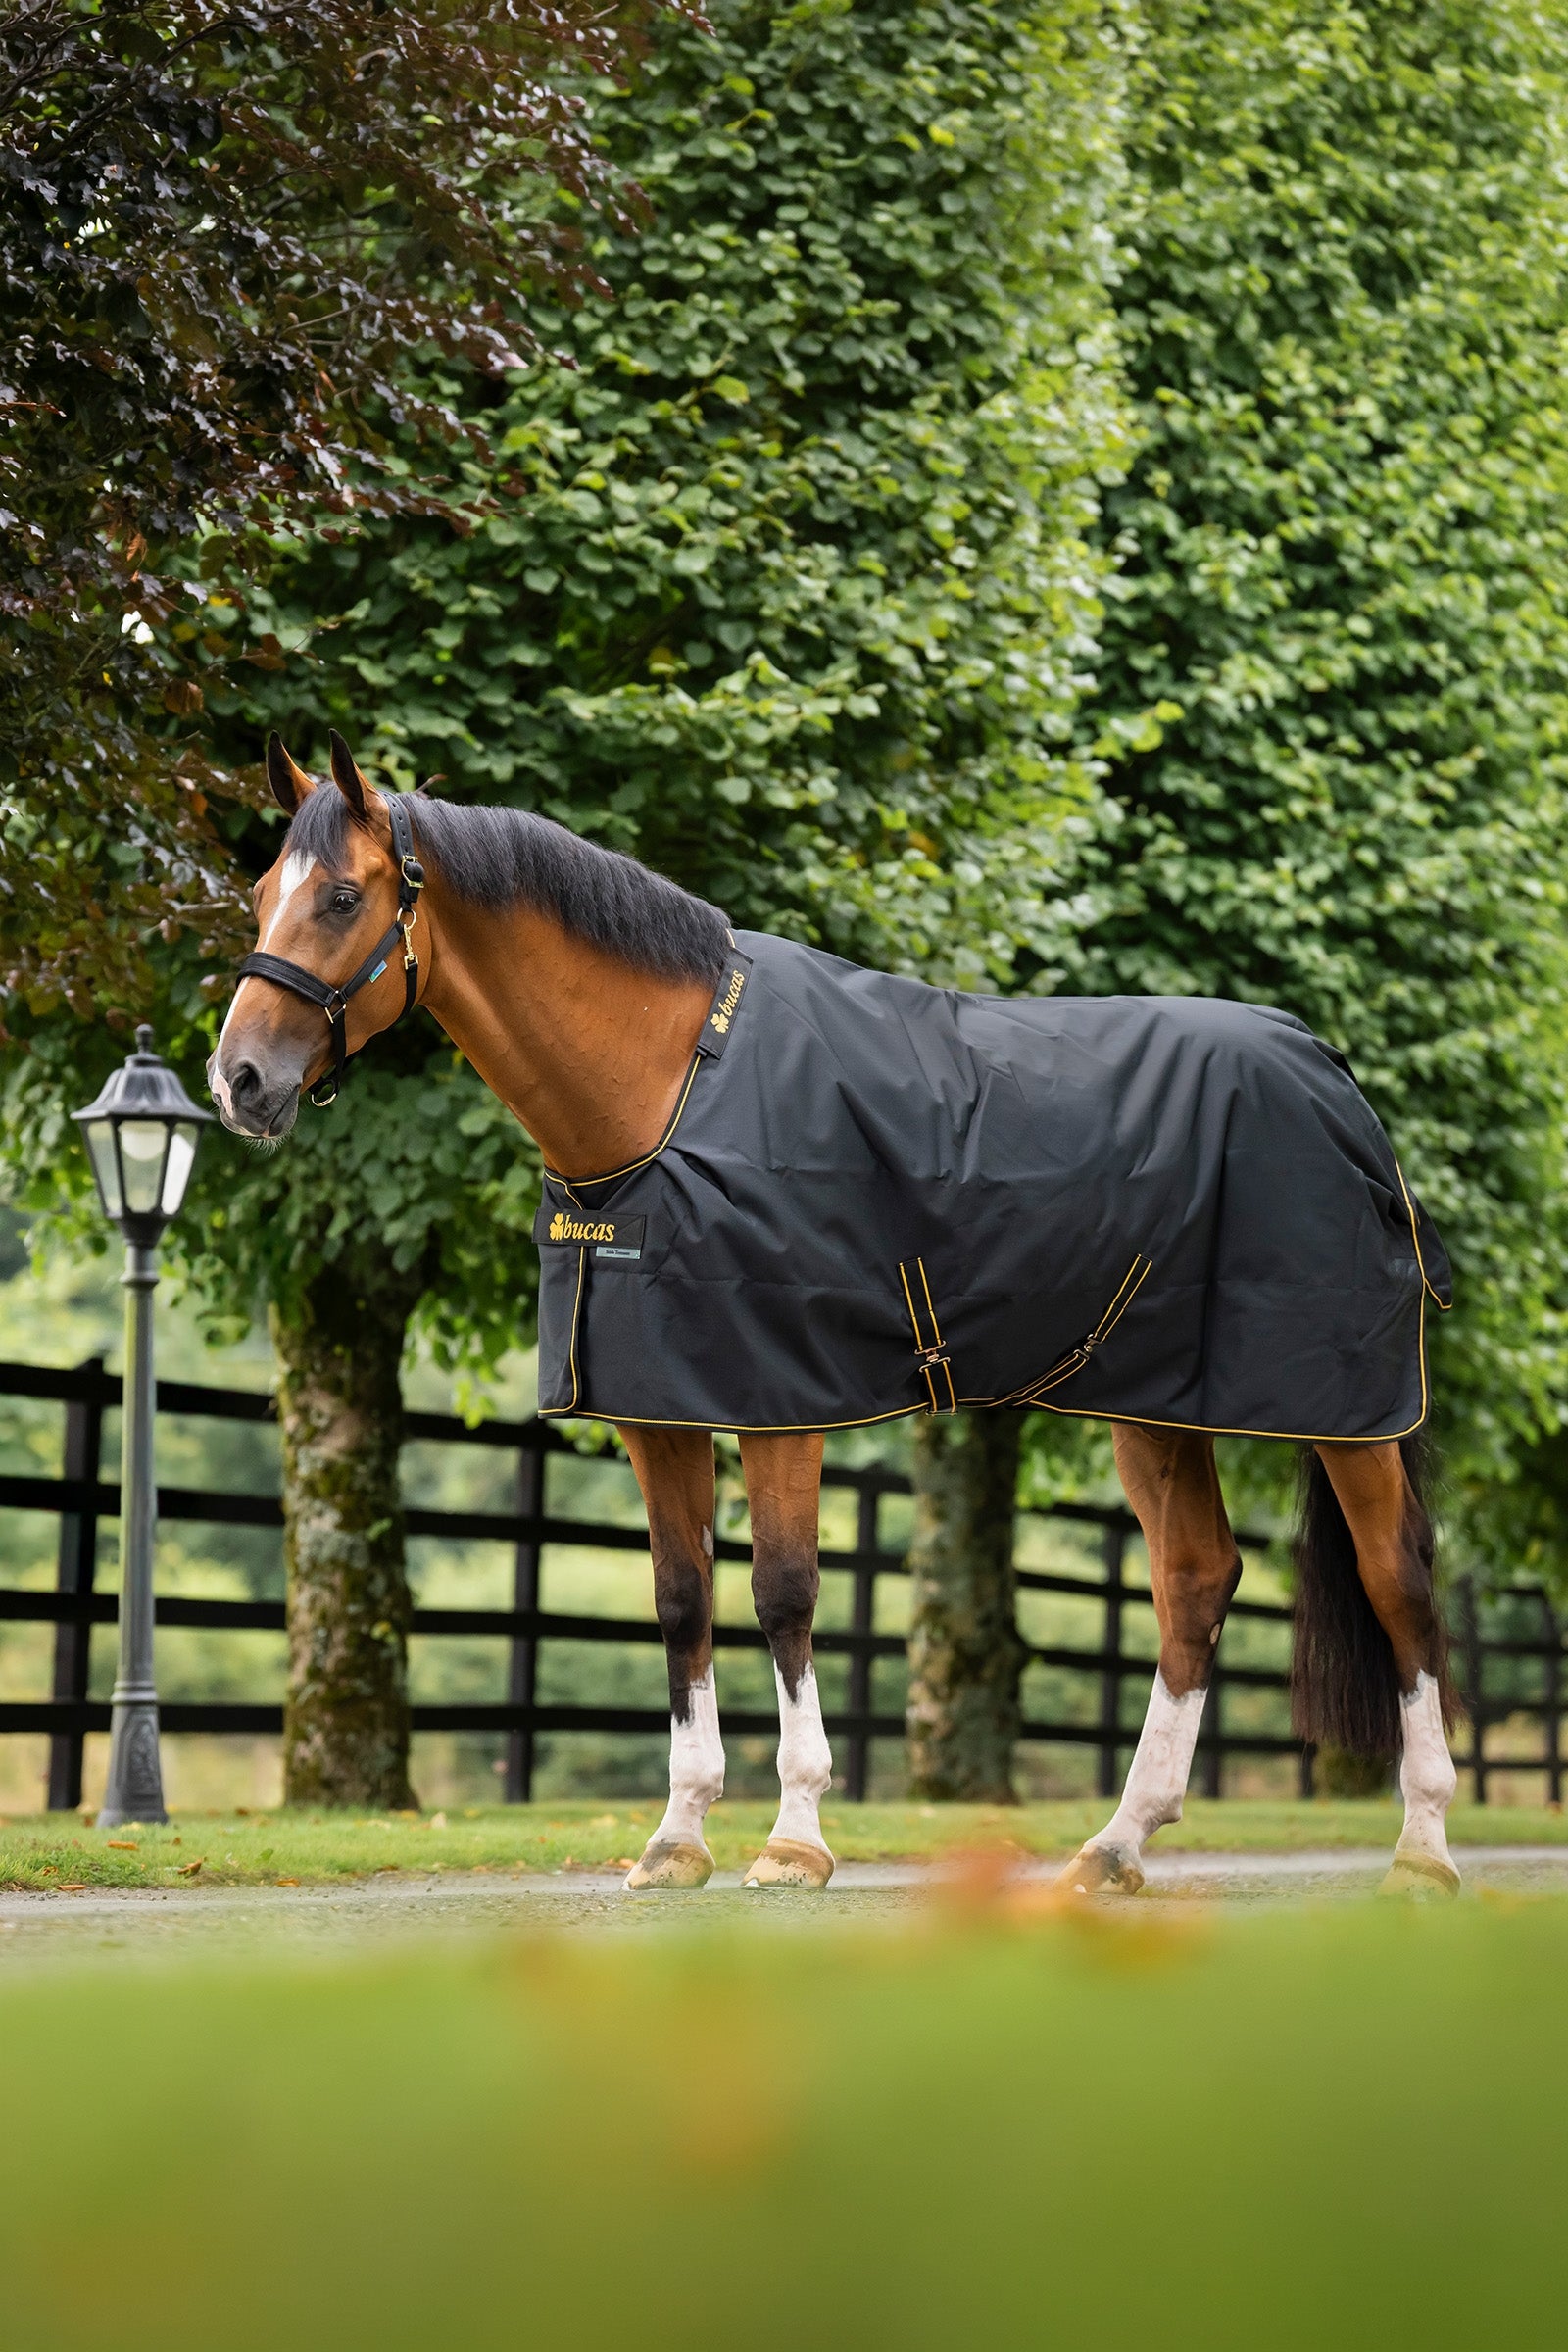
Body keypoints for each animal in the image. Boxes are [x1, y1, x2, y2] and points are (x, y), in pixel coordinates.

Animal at [209, 732, 1462, 1898]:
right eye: (261, 894)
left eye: (342, 896)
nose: (239, 1083)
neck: (674, 1085)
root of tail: (1331, 1078)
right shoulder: (659, 1408)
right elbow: (680, 1602)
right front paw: (675, 1840)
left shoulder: (783, 1398)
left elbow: (783, 1594)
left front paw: (795, 1838)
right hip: (1153, 1405)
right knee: (1194, 1582)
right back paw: (1116, 1846)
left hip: (1342, 1409)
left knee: (1397, 1579)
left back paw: (1423, 1850)